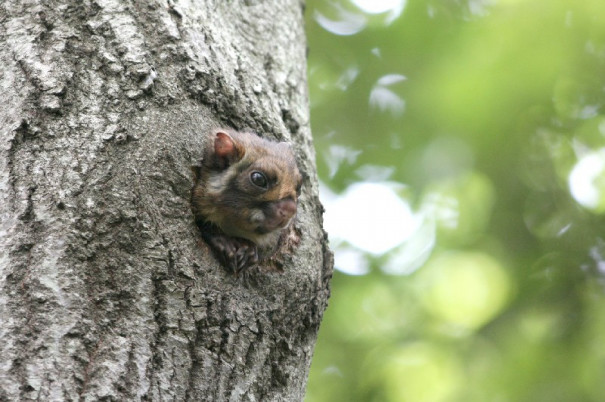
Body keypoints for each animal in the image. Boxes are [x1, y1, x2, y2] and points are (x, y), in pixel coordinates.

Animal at [191, 129, 302, 274]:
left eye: (300, 186)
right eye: (258, 179)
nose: (290, 209)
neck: (232, 224)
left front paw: (248, 250)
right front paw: (224, 242)